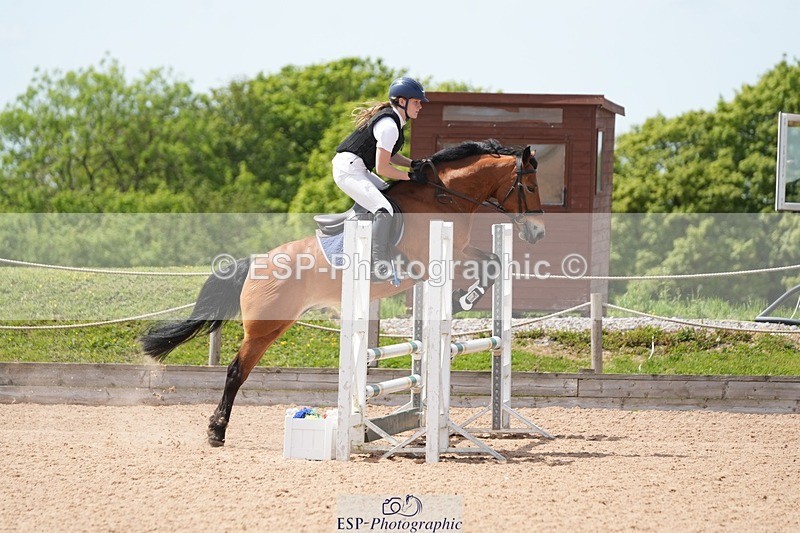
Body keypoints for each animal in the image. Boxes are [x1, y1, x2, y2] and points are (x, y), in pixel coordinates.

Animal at [140, 139, 545, 446]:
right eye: (529, 187)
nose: (537, 233)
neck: (444, 197)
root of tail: (256, 262)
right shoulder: (434, 259)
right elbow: (483, 267)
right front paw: (463, 298)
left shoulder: (460, 251)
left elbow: (493, 261)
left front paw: (464, 299)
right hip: (265, 327)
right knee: (236, 371)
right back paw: (216, 431)